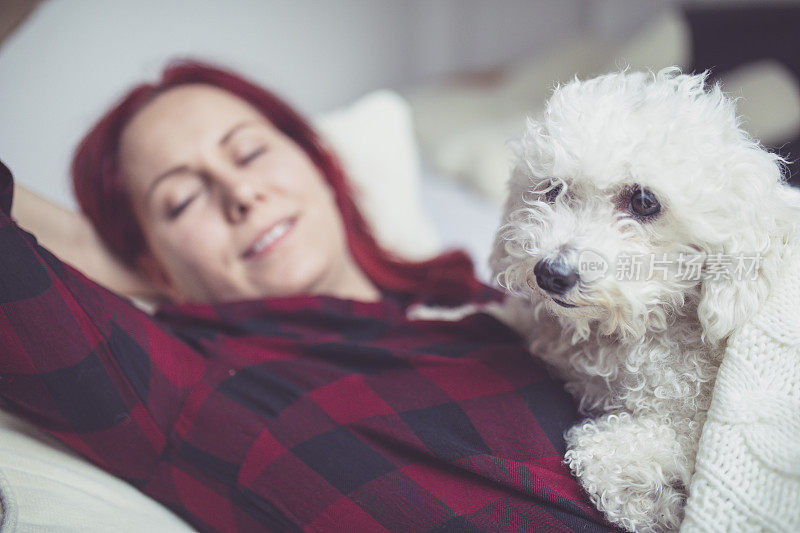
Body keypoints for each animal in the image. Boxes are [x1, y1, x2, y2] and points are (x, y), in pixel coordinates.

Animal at [490, 68, 800, 528]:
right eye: (553, 189)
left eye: (643, 201)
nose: (550, 273)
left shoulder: (685, 431)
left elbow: (604, 455)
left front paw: (653, 503)